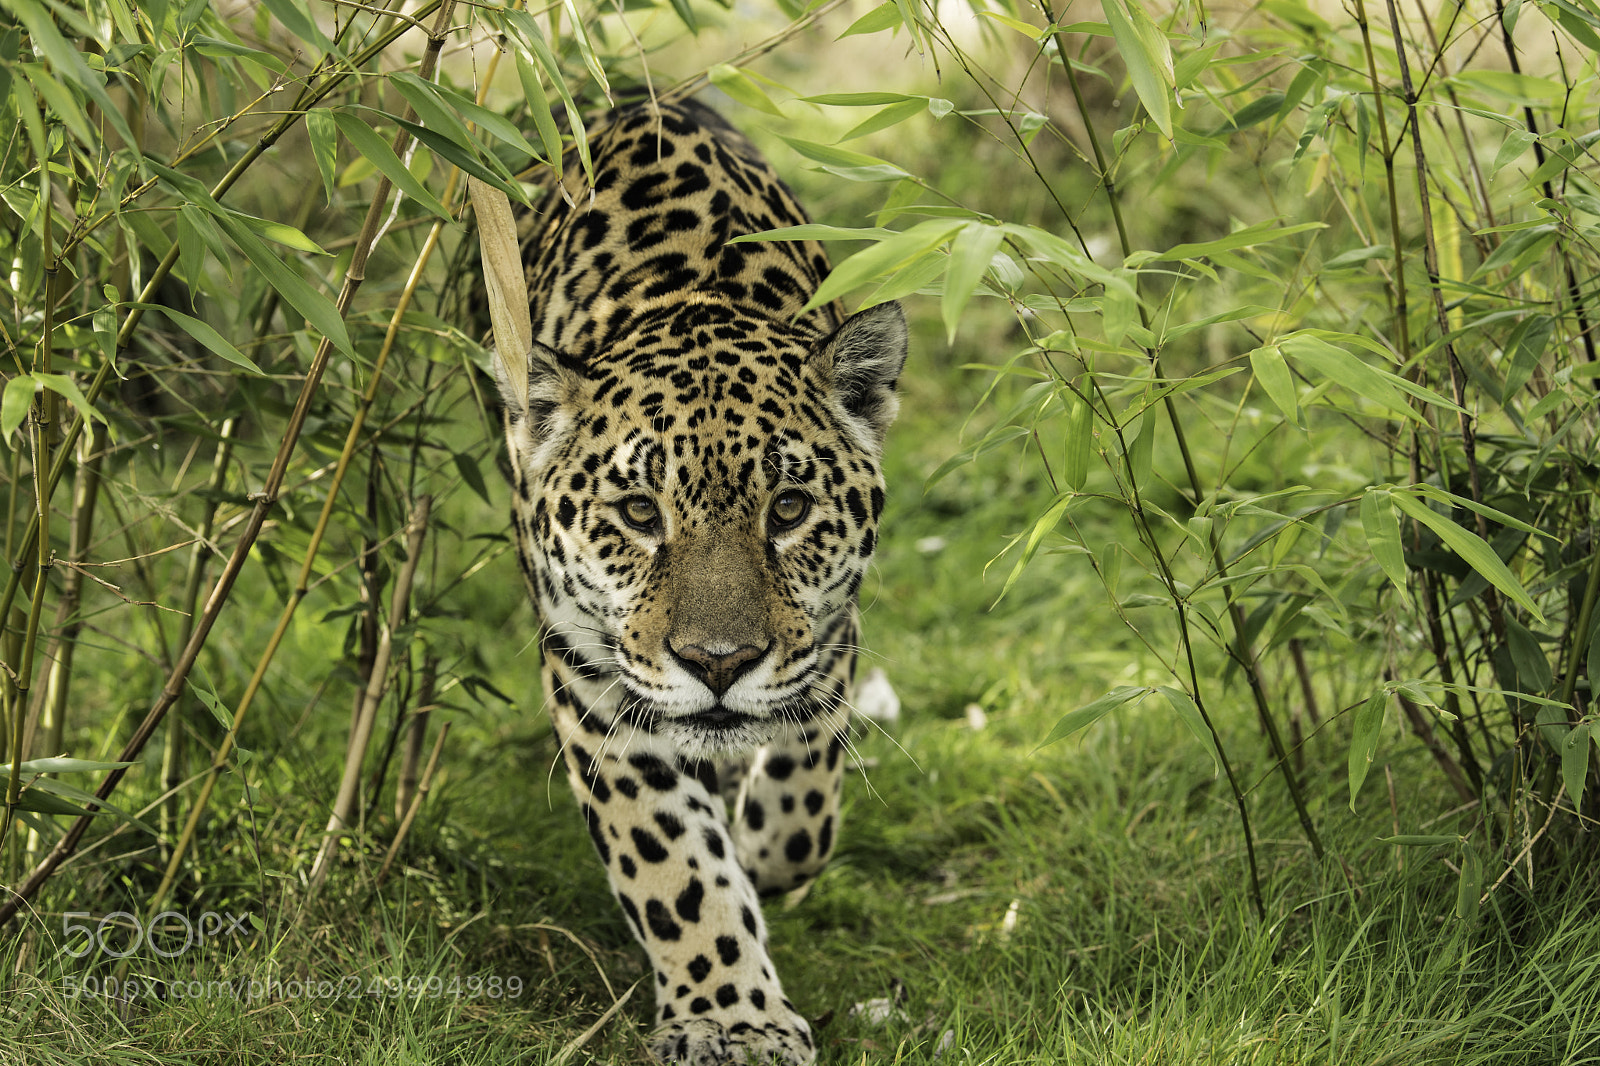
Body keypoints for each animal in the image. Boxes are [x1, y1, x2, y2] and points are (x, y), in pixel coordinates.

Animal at [488, 98, 907, 1065]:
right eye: (640, 512)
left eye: (788, 508)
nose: (717, 664)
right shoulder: (592, 677)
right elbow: (673, 865)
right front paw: (733, 1018)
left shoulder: (830, 631)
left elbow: (804, 792)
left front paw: (762, 852)